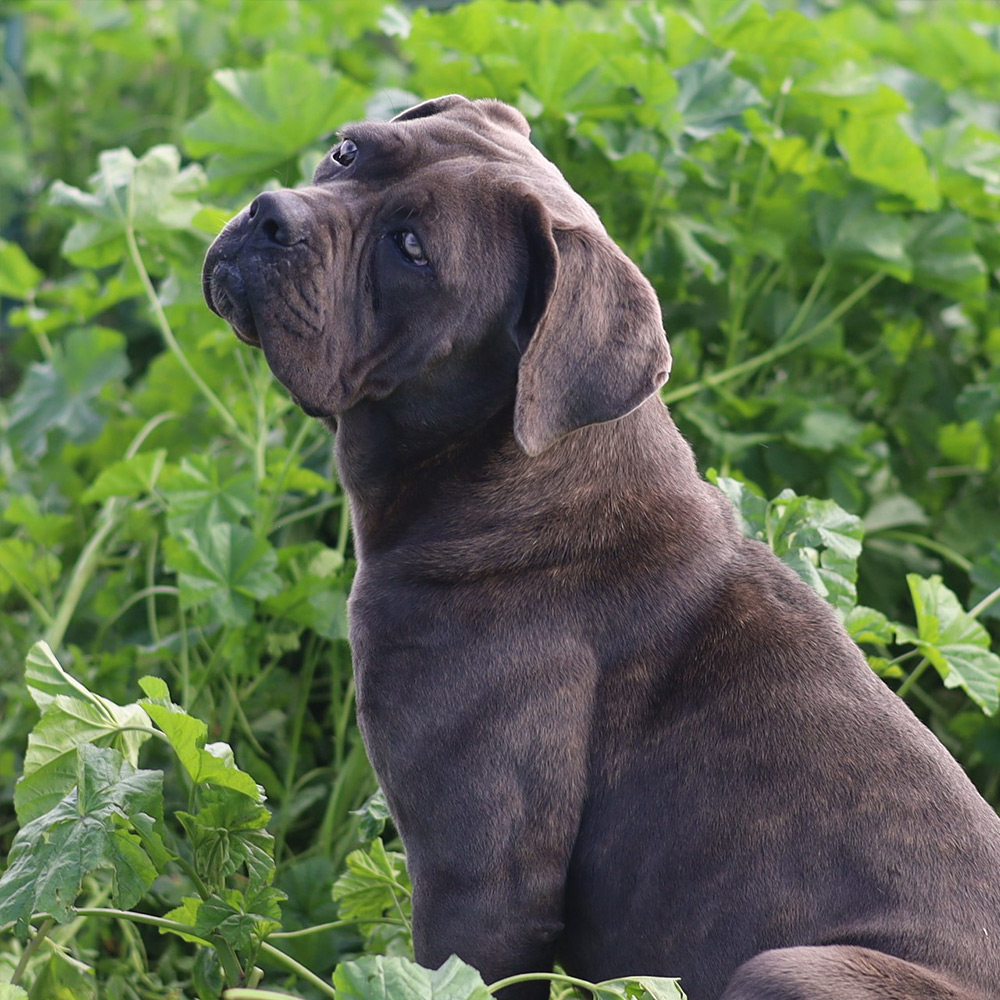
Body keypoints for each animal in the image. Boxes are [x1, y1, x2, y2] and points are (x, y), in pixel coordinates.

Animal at [203, 95, 1000, 1000]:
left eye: (412, 249)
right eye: (347, 152)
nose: (271, 215)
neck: (506, 472)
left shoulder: (481, 887)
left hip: (796, 966)